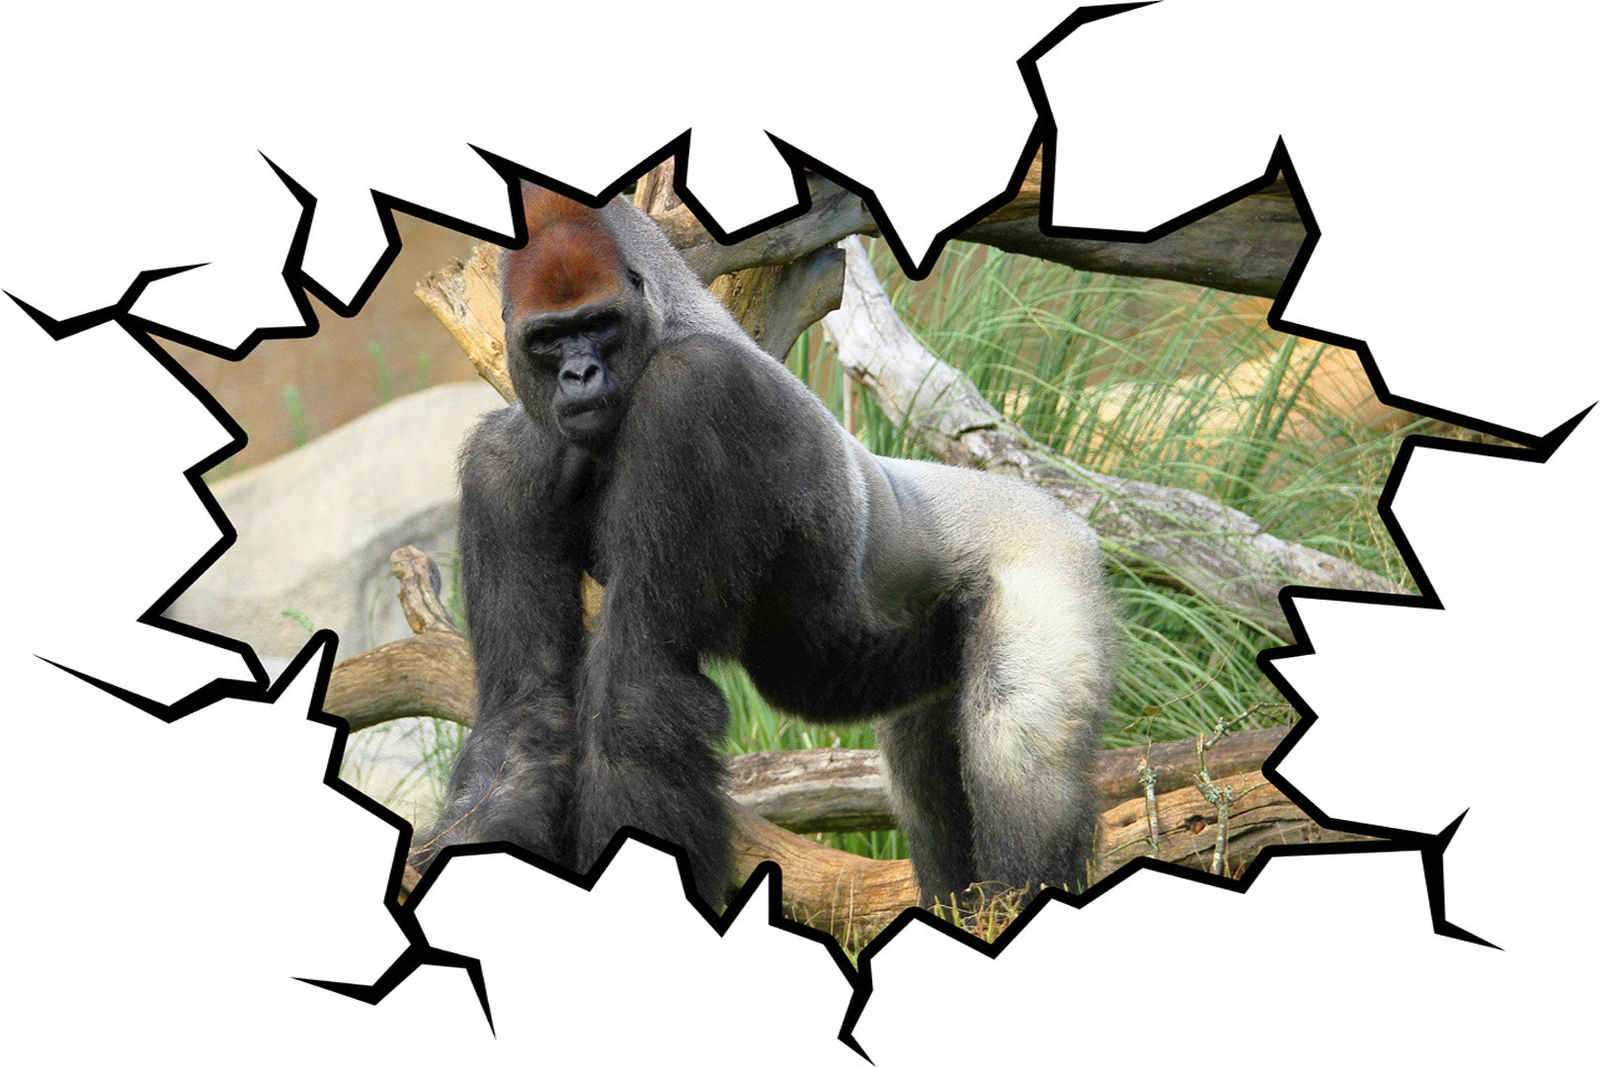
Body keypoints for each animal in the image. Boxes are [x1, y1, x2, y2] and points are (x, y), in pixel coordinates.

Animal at [410, 184, 1116, 908]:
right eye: (548, 339)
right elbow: (524, 716)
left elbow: (638, 686)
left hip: (1045, 555)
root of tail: (1058, 508)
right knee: (924, 779)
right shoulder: (503, 462)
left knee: (1020, 758)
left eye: (599, 323)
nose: (579, 374)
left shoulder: (693, 391)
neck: (666, 319)